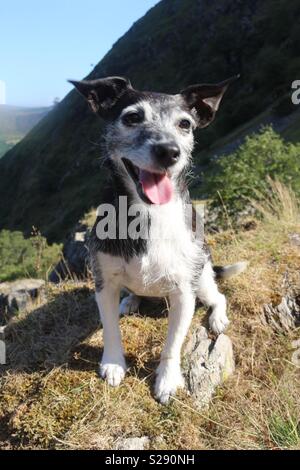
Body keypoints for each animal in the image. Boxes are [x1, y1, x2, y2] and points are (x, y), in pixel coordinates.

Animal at [70, 76, 246, 404]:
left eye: (185, 124)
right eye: (132, 117)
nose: (169, 151)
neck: (148, 215)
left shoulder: (184, 294)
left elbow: (173, 345)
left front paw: (167, 380)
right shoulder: (104, 284)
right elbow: (110, 329)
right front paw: (113, 364)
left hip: (202, 279)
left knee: (219, 297)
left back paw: (217, 318)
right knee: (133, 293)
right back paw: (131, 300)